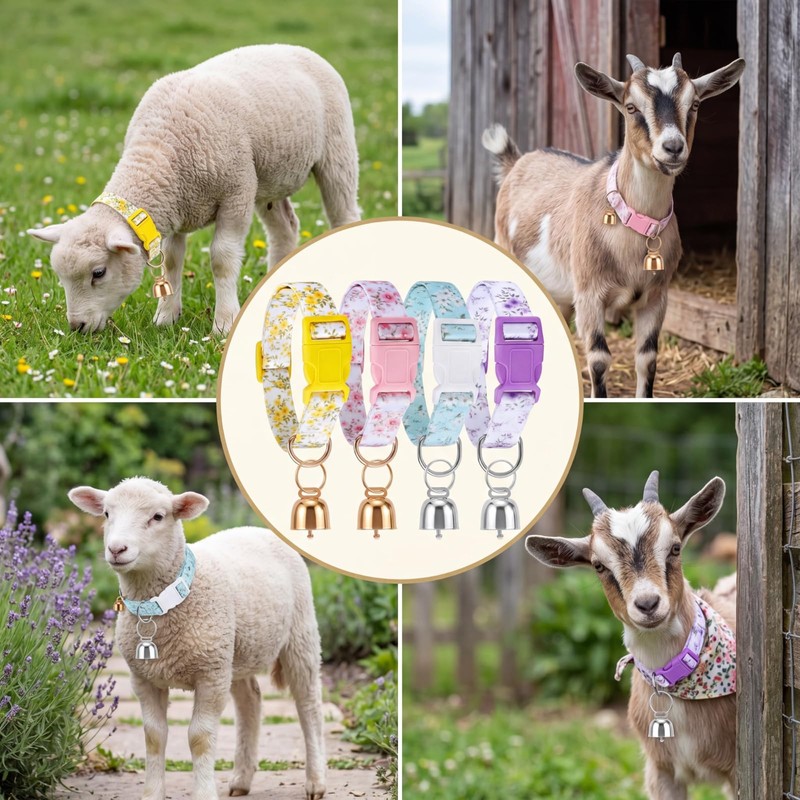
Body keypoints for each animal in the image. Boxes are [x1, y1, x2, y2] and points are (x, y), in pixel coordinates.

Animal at [483, 53, 744, 397]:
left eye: (696, 104)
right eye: (631, 107)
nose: (673, 147)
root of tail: (516, 161)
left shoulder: (657, 297)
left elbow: (647, 358)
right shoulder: (589, 294)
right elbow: (598, 359)